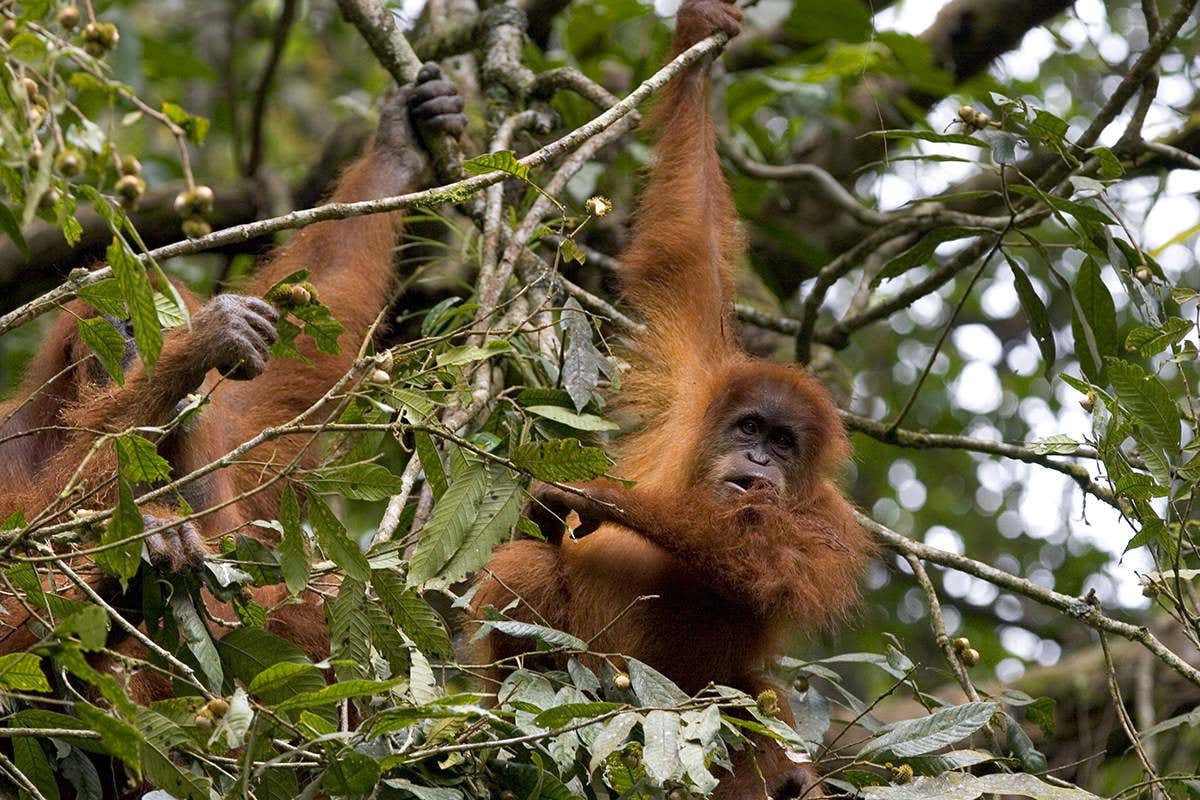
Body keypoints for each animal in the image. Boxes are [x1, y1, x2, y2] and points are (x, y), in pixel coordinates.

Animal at [0, 64, 469, 687]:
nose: (159, 351)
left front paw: (402, 141)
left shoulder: (239, 429)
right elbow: (13, 598)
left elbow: (318, 312)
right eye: (131, 330)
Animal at [470, 3, 872, 797]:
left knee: (747, 699)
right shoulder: (697, 385)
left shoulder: (835, 532)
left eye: (784, 444)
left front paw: (593, 494)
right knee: (522, 564)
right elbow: (689, 244)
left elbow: (765, 558)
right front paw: (701, 40)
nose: (759, 459)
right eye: (751, 427)